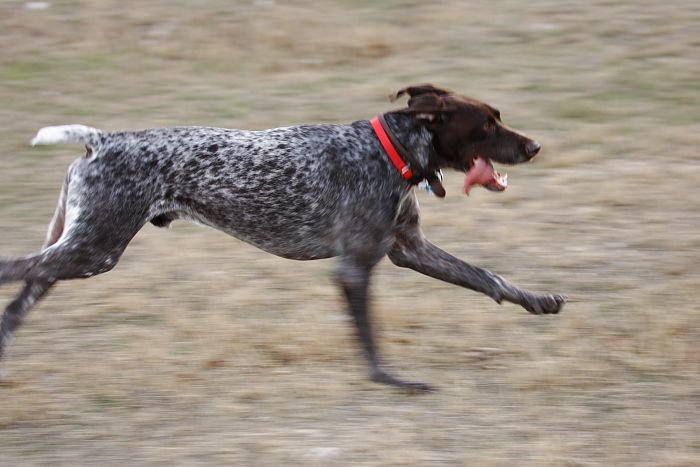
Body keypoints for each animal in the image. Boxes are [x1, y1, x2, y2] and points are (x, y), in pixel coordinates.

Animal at [0, 85, 568, 392]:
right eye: (486, 124)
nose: (536, 146)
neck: (389, 151)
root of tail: (102, 140)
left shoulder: (410, 251)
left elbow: (487, 278)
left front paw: (538, 300)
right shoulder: (354, 269)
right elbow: (371, 342)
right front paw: (393, 382)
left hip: (73, 250)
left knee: (15, 305)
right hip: (92, 251)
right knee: (12, 270)